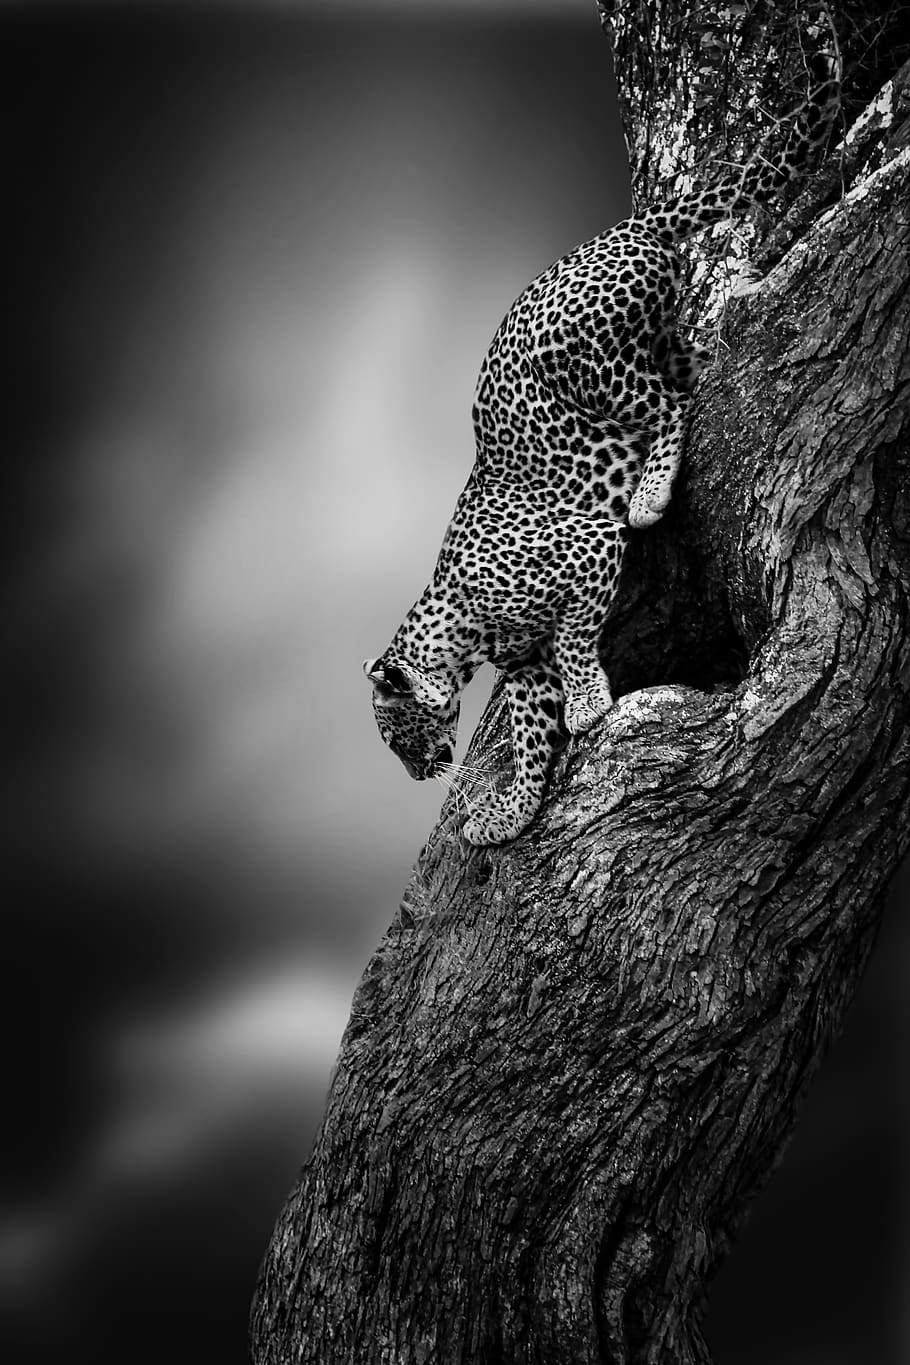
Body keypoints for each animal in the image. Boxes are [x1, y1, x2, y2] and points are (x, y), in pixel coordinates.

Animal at [365, 55, 840, 847]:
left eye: (395, 734)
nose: (419, 774)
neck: (458, 632)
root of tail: (624, 226)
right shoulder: (522, 666)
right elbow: (530, 733)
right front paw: (508, 813)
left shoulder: (587, 554)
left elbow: (572, 640)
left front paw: (589, 701)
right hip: (655, 340)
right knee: (699, 367)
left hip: (586, 361)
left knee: (671, 406)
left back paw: (648, 493)